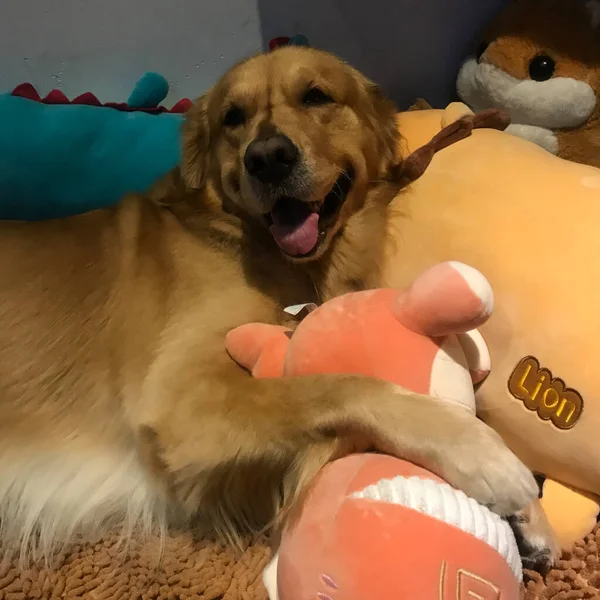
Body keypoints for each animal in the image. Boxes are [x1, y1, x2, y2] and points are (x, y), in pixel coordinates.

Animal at [0, 45, 552, 568]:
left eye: (316, 96)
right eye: (232, 117)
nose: (267, 158)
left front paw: (530, 519)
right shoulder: (182, 398)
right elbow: (339, 385)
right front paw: (477, 450)